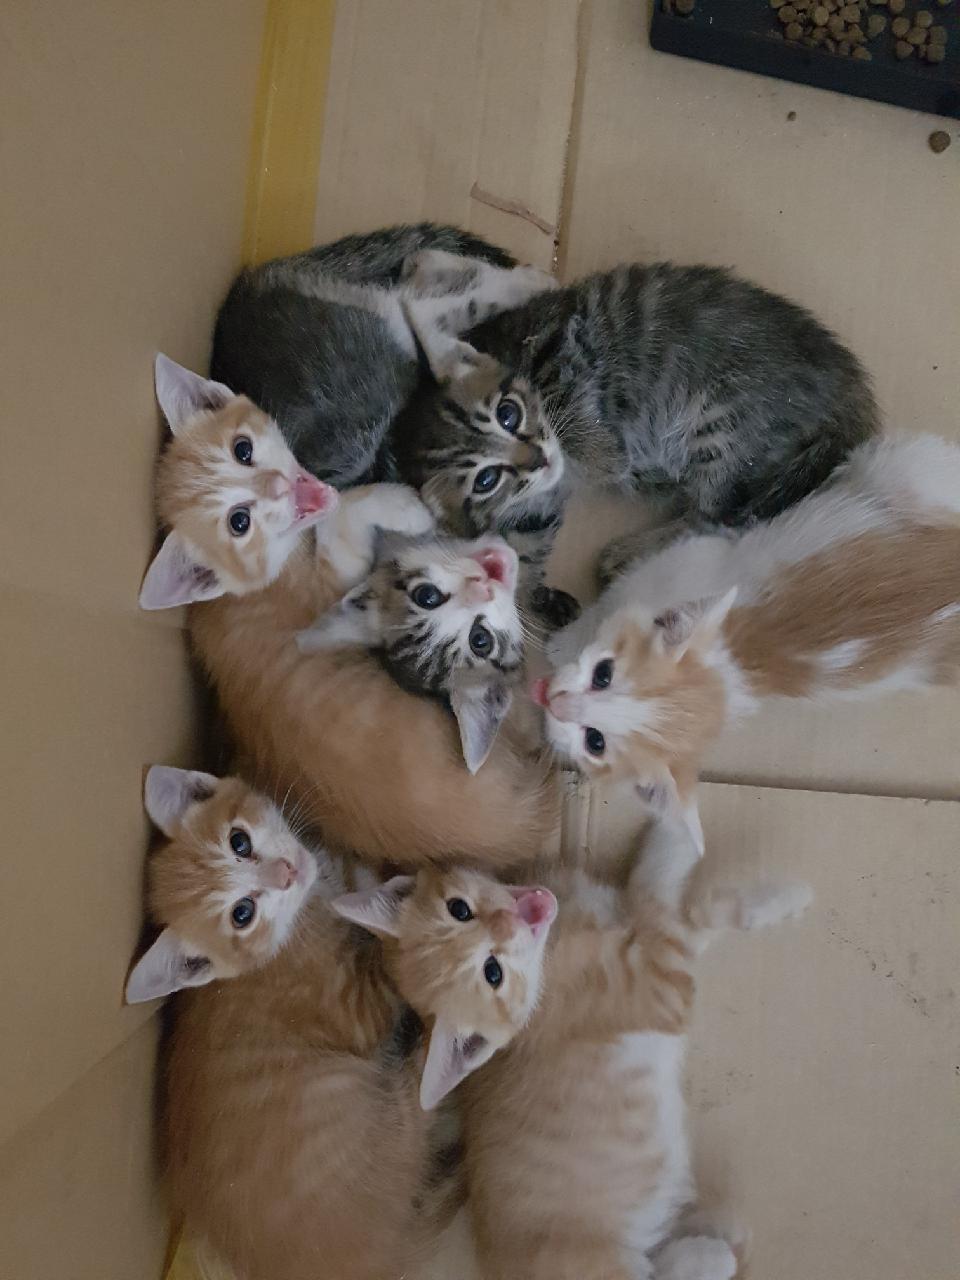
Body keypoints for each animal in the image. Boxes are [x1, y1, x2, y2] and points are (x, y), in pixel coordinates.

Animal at [125, 766, 470, 1280]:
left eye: (240, 842)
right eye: (242, 914)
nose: (286, 873)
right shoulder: (356, 1009)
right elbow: (395, 971)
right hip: (392, 1109)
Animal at [333, 816, 811, 1280]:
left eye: (460, 909)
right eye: (493, 973)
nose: (507, 924)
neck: (550, 955)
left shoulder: (629, 919)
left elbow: (649, 880)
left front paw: (668, 824)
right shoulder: (666, 982)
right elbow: (687, 910)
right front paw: (778, 899)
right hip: (608, 1264)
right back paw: (714, 1253)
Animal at [394, 260, 879, 623]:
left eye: (508, 414)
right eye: (486, 481)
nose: (539, 460)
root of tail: (849, 387)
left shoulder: (556, 340)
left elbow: (562, 397)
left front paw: (602, 454)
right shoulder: (533, 509)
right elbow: (526, 552)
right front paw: (531, 598)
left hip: (723, 420)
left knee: (720, 517)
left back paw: (625, 552)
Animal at [536, 431, 960, 842]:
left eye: (595, 741)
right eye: (603, 675)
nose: (555, 702)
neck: (731, 663)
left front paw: (560, 643)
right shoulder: (696, 555)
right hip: (912, 470)